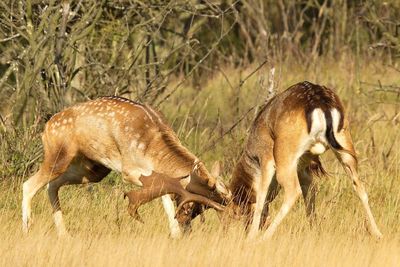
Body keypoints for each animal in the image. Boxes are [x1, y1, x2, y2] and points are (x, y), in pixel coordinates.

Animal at [22, 96, 231, 237]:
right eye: (193, 206)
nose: (187, 228)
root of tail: (46, 127)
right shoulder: (129, 170)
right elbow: (163, 190)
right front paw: (176, 233)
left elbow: (165, 194)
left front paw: (175, 234)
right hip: (58, 154)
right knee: (29, 184)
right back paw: (27, 228)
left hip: (93, 169)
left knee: (52, 185)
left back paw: (64, 234)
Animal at [227, 82, 382, 241]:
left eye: (236, 212)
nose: (244, 230)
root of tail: (322, 104)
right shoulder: (303, 169)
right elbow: (311, 192)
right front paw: (315, 230)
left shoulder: (266, 159)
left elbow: (261, 196)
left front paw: (251, 238)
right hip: (345, 143)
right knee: (359, 185)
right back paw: (378, 233)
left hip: (285, 153)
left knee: (293, 191)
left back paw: (264, 238)